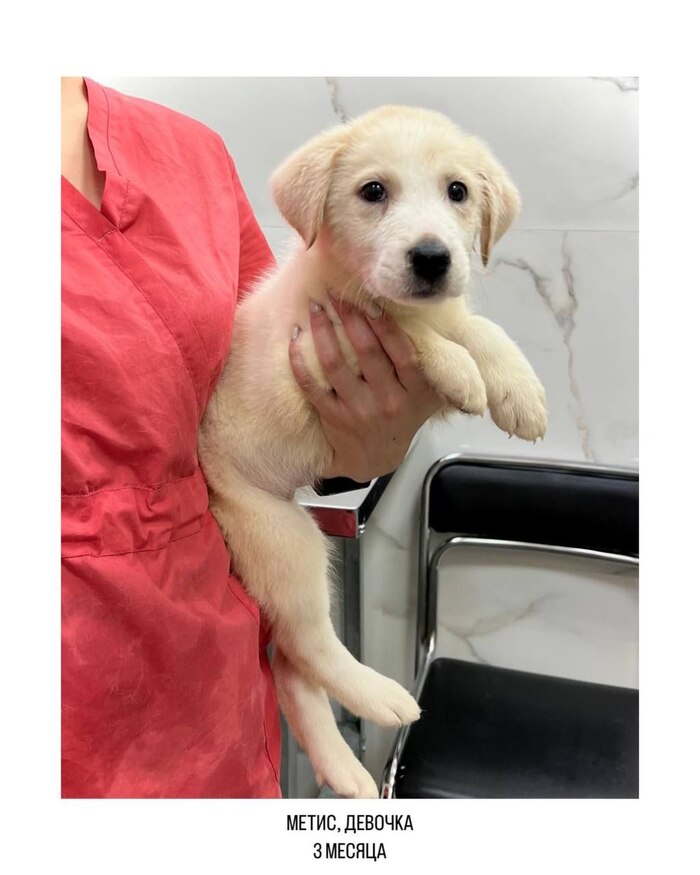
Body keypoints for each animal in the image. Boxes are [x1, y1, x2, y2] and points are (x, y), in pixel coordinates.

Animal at [198, 105, 547, 798]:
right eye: (373, 191)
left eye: (457, 191)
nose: (433, 259)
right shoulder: (311, 347)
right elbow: (407, 329)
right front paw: (463, 373)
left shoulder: (441, 310)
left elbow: (473, 325)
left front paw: (517, 389)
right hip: (285, 540)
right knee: (308, 645)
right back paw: (381, 698)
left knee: (292, 668)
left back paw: (345, 770)